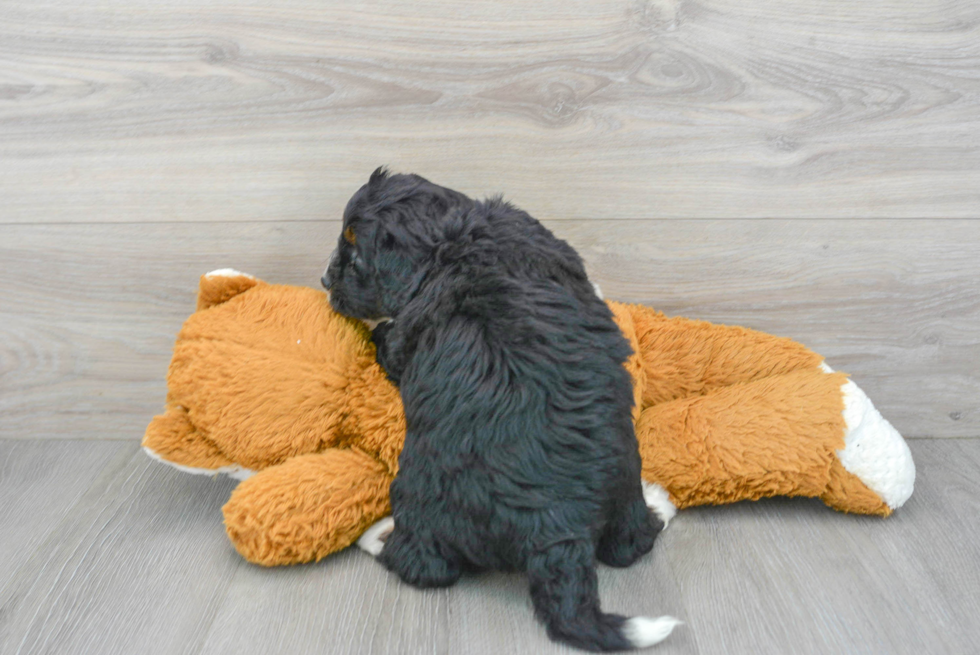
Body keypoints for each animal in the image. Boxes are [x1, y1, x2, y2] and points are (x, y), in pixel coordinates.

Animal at [326, 169, 676, 652]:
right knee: (631, 543)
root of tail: (556, 530)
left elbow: (388, 339)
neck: (454, 238)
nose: (325, 280)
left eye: (355, 256)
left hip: (419, 495)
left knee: (425, 566)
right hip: (624, 476)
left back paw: (377, 537)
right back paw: (657, 504)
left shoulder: (402, 341)